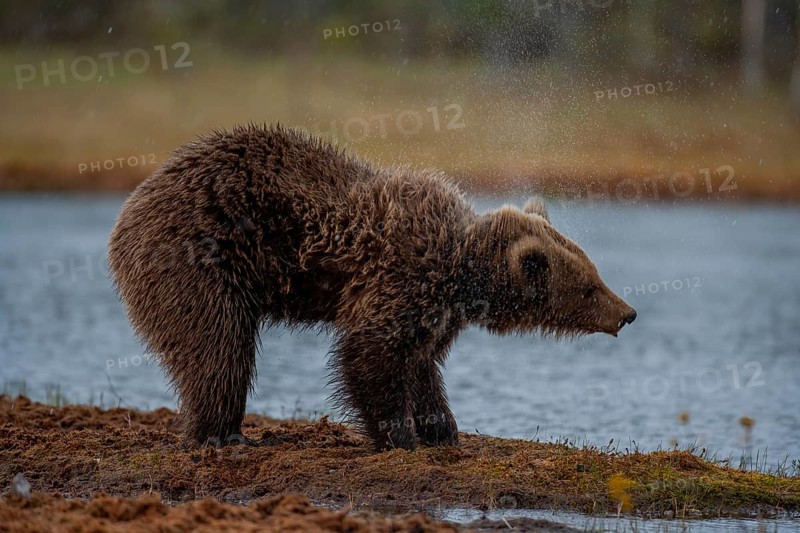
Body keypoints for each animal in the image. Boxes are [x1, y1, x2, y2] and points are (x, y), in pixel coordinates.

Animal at [108, 124, 637, 452]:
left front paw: (442, 427)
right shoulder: (402, 276)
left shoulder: (436, 309)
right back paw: (222, 433)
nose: (628, 313)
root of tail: (134, 202)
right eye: (589, 288)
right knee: (219, 346)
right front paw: (399, 437)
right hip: (199, 258)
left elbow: (422, 361)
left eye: (595, 273)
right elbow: (371, 353)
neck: (463, 270)